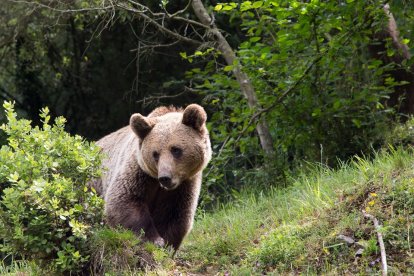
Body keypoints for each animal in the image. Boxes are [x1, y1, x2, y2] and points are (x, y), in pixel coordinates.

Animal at [92, 104, 212, 250]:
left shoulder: (184, 186)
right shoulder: (139, 173)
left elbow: (175, 214)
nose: (165, 177)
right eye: (155, 154)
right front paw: (154, 240)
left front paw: (166, 243)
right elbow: (123, 200)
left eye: (176, 149)